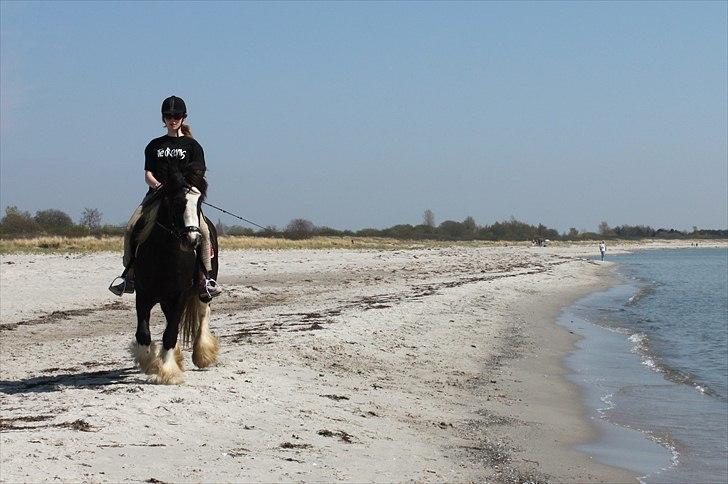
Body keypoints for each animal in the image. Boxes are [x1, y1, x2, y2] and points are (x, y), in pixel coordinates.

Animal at [129, 164, 219, 384]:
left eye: (199, 202)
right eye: (177, 202)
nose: (192, 240)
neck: (165, 254)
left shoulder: (179, 295)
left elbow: (170, 332)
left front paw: (167, 371)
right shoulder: (143, 294)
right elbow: (143, 333)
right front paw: (149, 363)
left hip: (202, 291)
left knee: (203, 313)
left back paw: (202, 355)